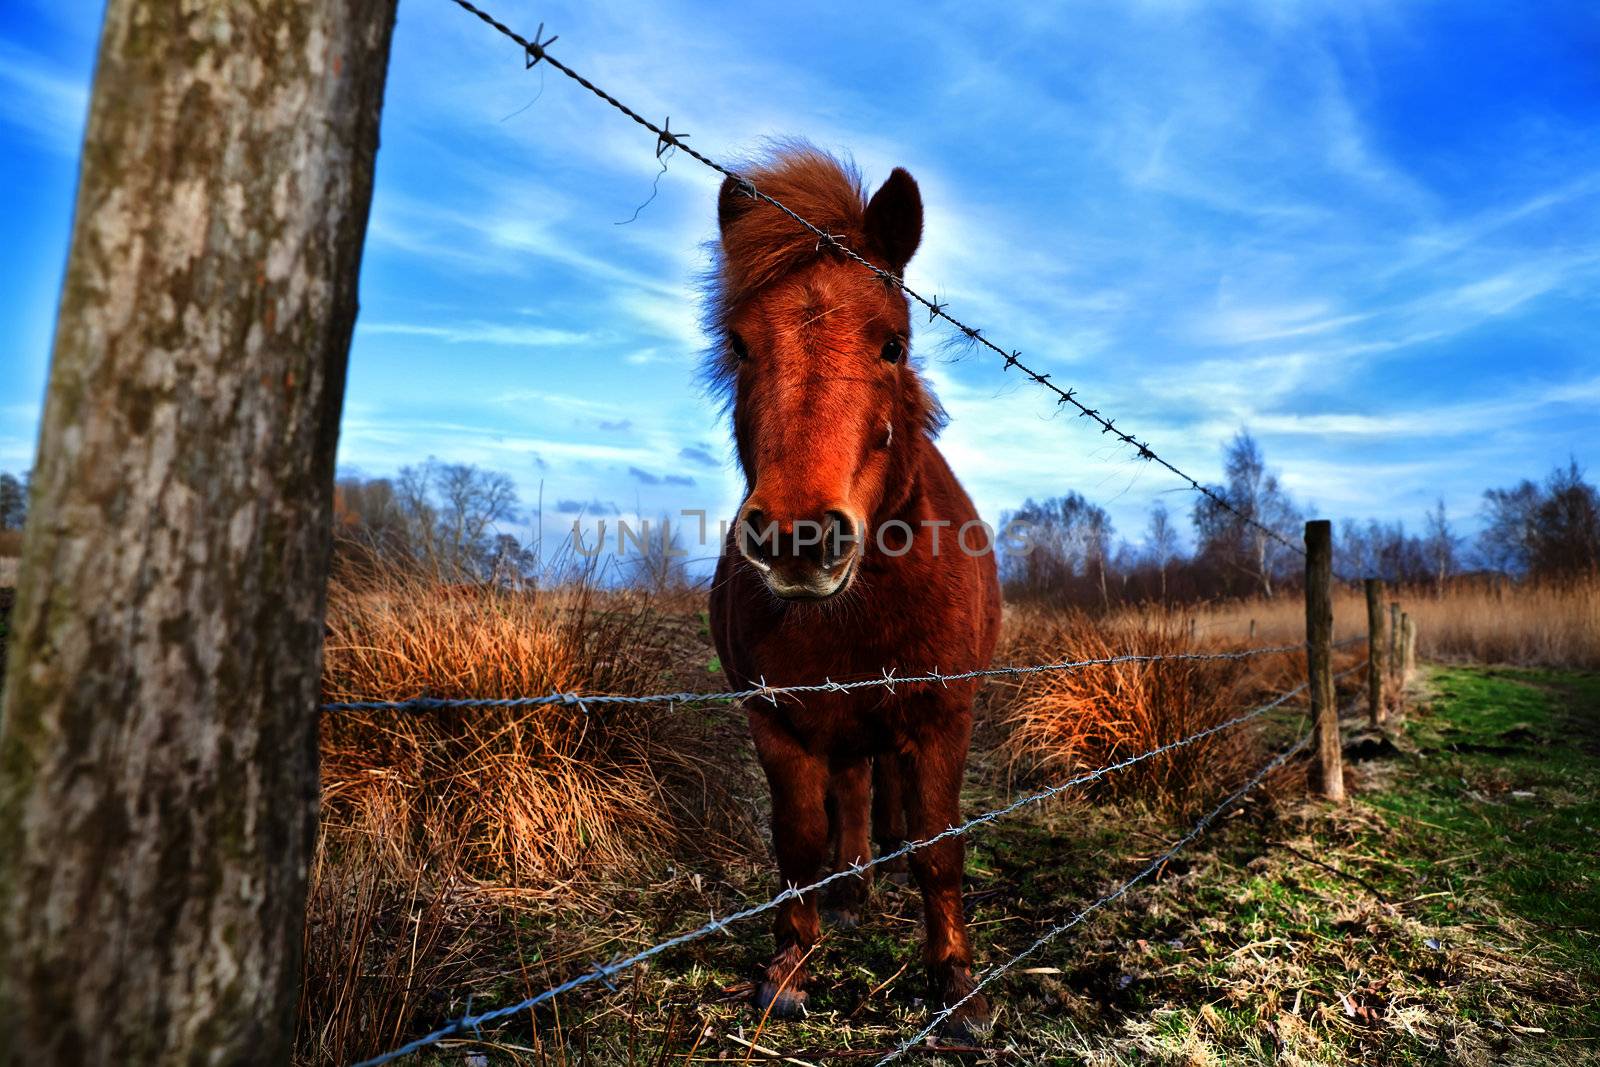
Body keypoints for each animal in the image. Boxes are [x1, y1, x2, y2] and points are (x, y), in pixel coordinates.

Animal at [710, 146, 998, 1036]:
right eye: (739, 344)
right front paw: (788, 969)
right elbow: (799, 843)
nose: (799, 538)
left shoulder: (942, 714)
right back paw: (852, 887)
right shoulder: (777, 720)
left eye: (893, 345)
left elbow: (940, 848)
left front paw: (957, 985)